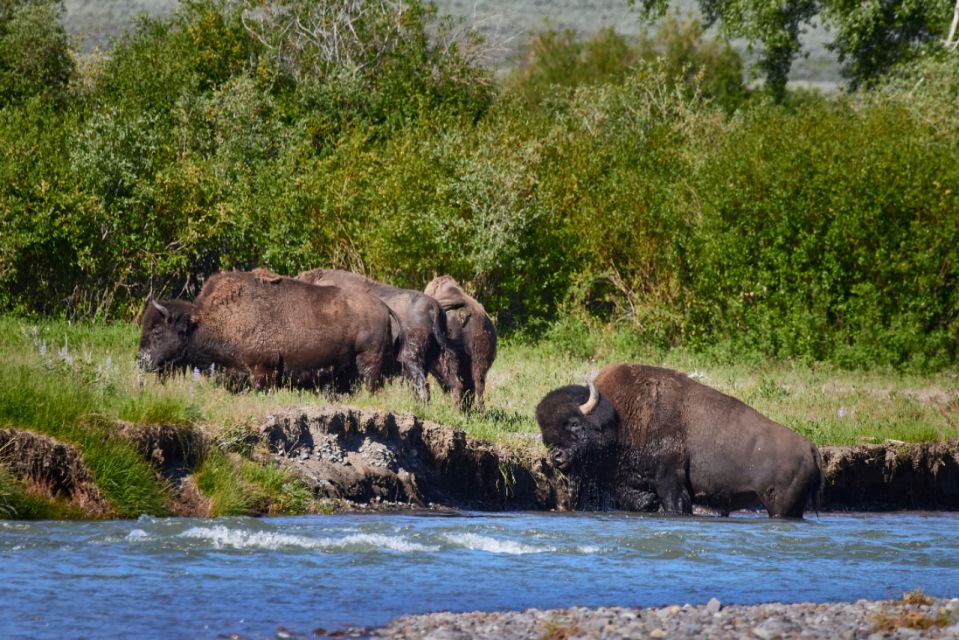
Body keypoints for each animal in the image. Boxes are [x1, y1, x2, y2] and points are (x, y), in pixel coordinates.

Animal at [536, 362, 820, 516]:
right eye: (546, 437)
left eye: (574, 424)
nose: (557, 457)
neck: (619, 418)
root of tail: (810, 448)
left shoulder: (670, 481)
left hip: (780, 506)